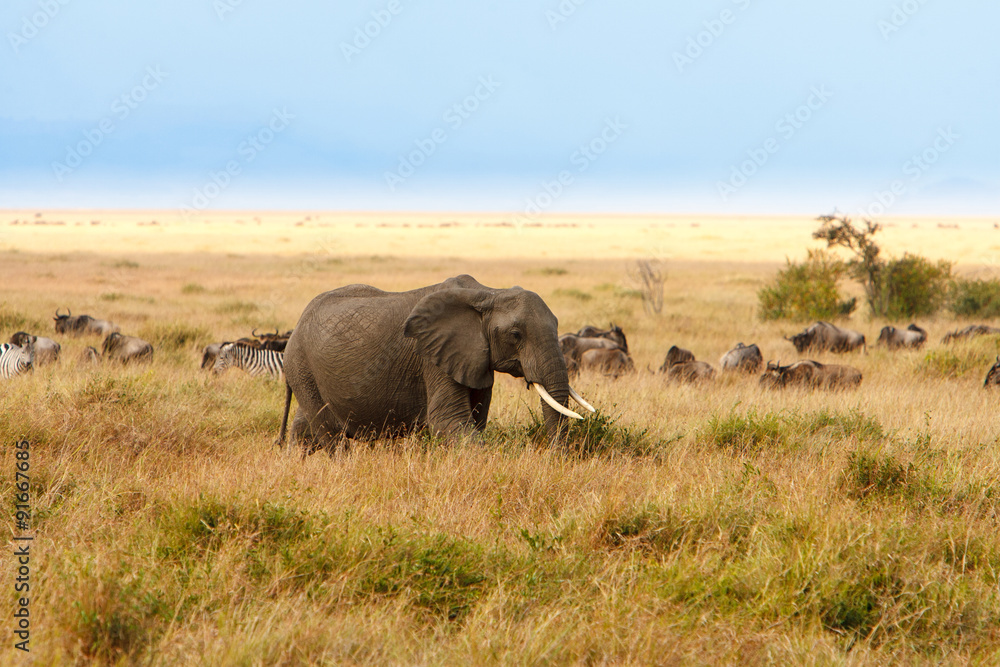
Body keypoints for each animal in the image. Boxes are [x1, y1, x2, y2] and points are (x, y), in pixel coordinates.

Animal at [278, 274, 592, 452]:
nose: (555, 458)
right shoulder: (433, 358)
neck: (489, 293)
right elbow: (450, 421)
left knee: (306, 427)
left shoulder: (475, 357)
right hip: (302, 365)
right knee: (331, 437)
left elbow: (476, 419)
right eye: (516, 335)